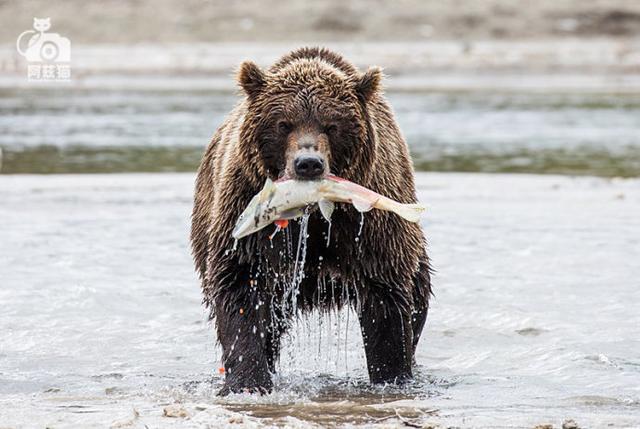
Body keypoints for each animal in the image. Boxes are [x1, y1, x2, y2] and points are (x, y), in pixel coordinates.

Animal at [189, 46, 430, 394]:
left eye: (331, 125)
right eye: (283, 124)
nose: (308, 163)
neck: (312, 214)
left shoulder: (368, 227)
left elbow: (385, 298)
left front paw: (391, 378)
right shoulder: (245, 215)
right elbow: (241, 289)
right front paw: (247, 383)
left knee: (419, 294)